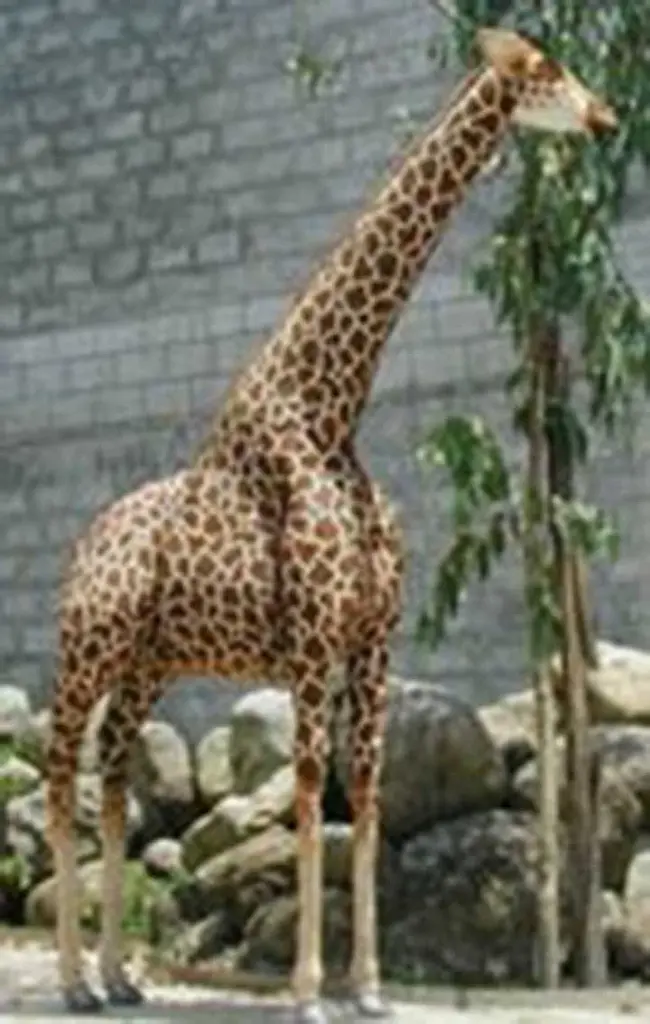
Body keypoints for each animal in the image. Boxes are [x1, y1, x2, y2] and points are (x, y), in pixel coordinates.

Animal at [46, 28, 616, 1024]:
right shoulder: (313, 642)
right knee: (57, 772)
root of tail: (86, 540)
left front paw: (372, 987)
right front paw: (310, 991)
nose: (607, 115)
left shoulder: (374, 639)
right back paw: (77, 981)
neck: (328, 411)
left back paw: (118, 978)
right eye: (546, 69)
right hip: (88, 650)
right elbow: (314, 793)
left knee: (113, 776)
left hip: (149, 664)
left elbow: (370, 796)